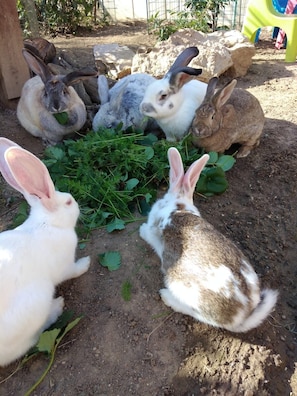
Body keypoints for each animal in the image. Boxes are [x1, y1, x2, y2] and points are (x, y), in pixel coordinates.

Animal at [0, 138, 90, 366]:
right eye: (68, 202)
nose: (77, 203)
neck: (48, 223)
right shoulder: (64, 266)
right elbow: (74, 270)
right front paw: (86, 263)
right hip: (36, 301)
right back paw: (57, 307)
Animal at [140, 147, 276, 332]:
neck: (179, 205)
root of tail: (241, 315)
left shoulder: (153, 230)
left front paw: (141, 230)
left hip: (179, 285)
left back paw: (167, 297)